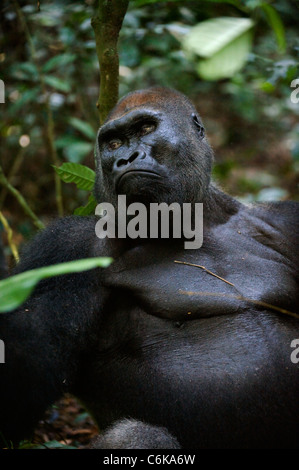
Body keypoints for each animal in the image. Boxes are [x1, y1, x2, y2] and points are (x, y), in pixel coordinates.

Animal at [0, 86, 299, 450]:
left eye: (145, 128)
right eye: (113, 143)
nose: (125, 159)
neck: (192, 223)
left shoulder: (285, 220)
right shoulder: (65, 247)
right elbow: (20, 385)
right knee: (139, 435)